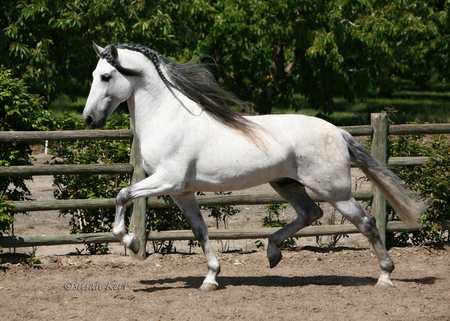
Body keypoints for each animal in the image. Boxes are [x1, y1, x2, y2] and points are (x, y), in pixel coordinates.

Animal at [83, 43, 426, 292]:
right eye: (94, 74)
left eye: (106, 76)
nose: (88, 119)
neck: (168, 118)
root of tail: (338, 132)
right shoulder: (182, 192)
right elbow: (200, 230)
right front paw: (211, 279)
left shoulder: (166, 180)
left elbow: (122, 194)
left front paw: (131, 241)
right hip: (287, 184)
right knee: (311, 213)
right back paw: (273, 253)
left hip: (335, 190)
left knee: (366, 222)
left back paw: (385, 277)